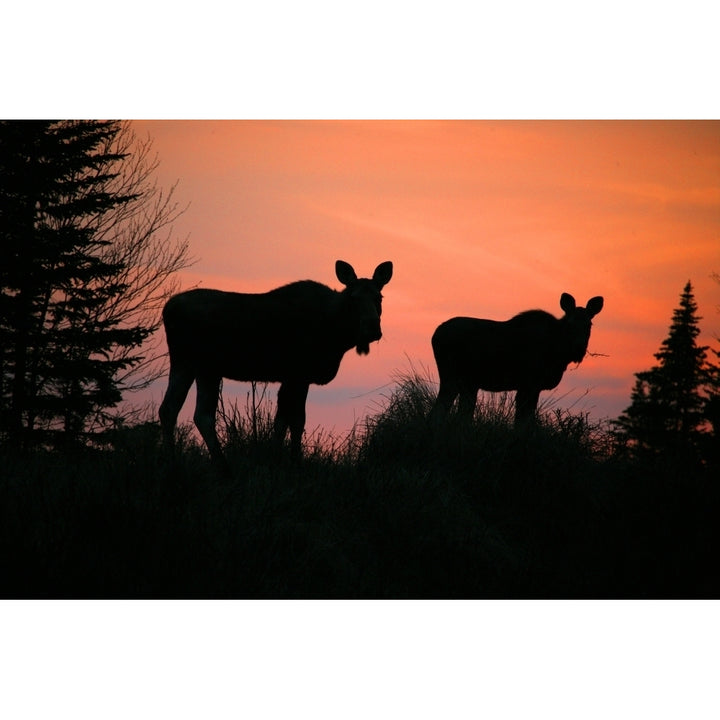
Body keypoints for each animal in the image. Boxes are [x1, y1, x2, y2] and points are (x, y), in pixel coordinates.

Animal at [160, 258, 394, 462]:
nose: (372, 327)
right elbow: (294, 421)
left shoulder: (294, 378)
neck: (335, 335)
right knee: (191, 413)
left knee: (180, 411)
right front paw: (291, 460)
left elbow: (285, 422)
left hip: (198, 367)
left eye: (379, 297)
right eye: (353, 298)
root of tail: (167, 309)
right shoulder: (297, 375)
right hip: (196, 364)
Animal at [430, 292, 604, 424]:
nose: (579, 347)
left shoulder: (531, 387)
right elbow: (523, 421)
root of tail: (435, 335)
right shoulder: (529, 384)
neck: (558, 353)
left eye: (589, 325)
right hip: (452, 377)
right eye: (570, 324)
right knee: (439, 409)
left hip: (468, 383)